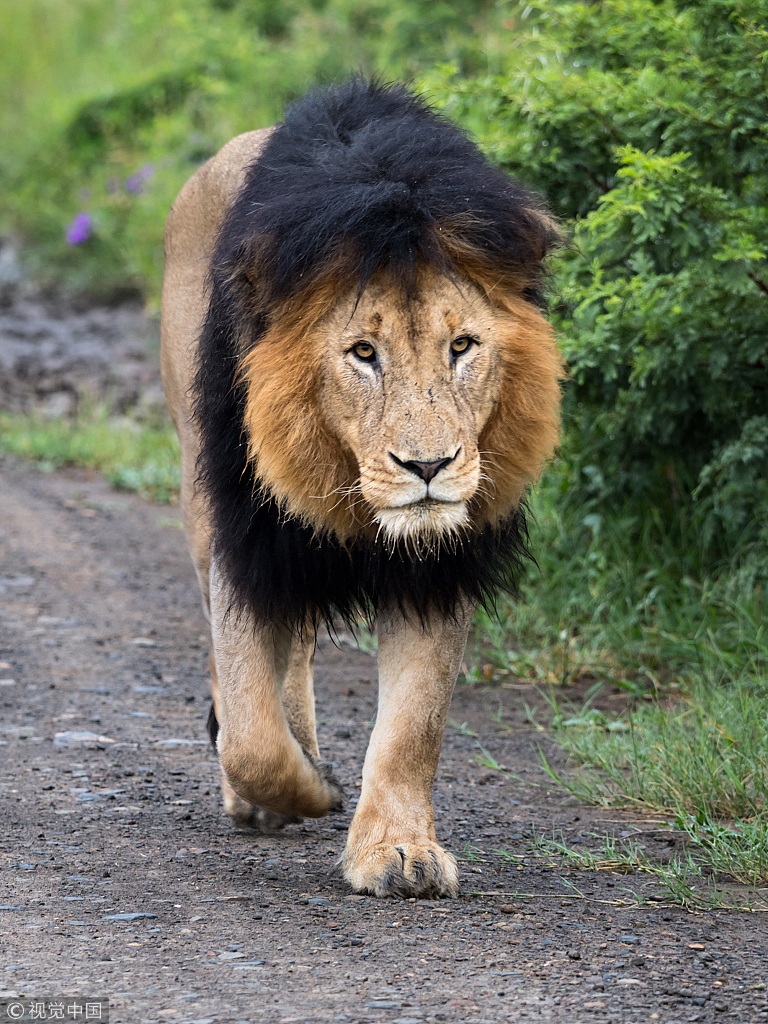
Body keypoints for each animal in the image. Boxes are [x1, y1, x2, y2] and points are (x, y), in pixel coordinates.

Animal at [159, 77, 561, 897]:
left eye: (462, 345)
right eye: (363, 353)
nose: (429, 467)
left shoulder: (441, 564)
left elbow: (414, 726)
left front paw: (398, 850)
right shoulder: (249, 539)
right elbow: (251, 733)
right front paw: (305, 788)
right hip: (198, 492)